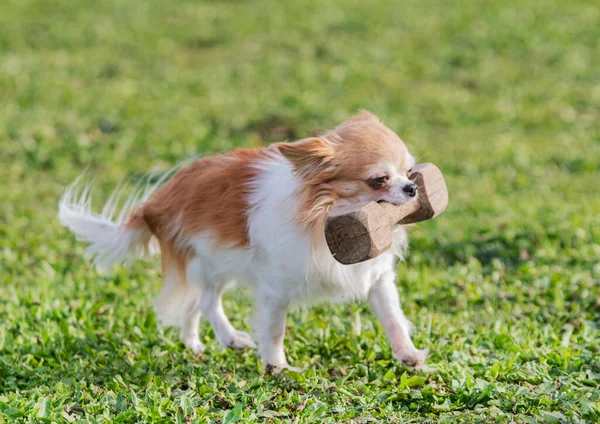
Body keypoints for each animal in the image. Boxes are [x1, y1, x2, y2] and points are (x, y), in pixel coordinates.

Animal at [59, 111, 426, 372]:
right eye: (379, 180)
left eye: (410, 171)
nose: (412, 188)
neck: (326, 216)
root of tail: (156, 202)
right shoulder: (275, 288)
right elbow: (274, 329)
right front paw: (277, 367)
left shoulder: (376, 278)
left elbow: (393, 318)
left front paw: (408, 356)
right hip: (204, 261)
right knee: (207, 303)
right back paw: (231, 338)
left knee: (192, 306)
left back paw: (193, 344)